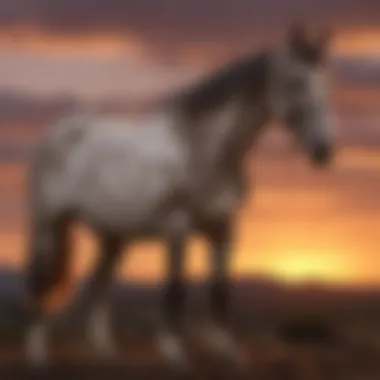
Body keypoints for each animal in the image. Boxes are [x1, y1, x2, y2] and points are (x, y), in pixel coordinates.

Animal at [23, 25, 334, 372]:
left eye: (324, 82)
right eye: (295, 80)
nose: (324, 151)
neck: (202, 150)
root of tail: (56, 135)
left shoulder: (224, 230)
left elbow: (220, 293)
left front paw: (229, 354)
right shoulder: (177, 228)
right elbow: (175, 291)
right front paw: (174, 355)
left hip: (113, 234)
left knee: (98, 283)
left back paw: (104, 353)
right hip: (49, 224)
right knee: (40, 281)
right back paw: (37, 356)